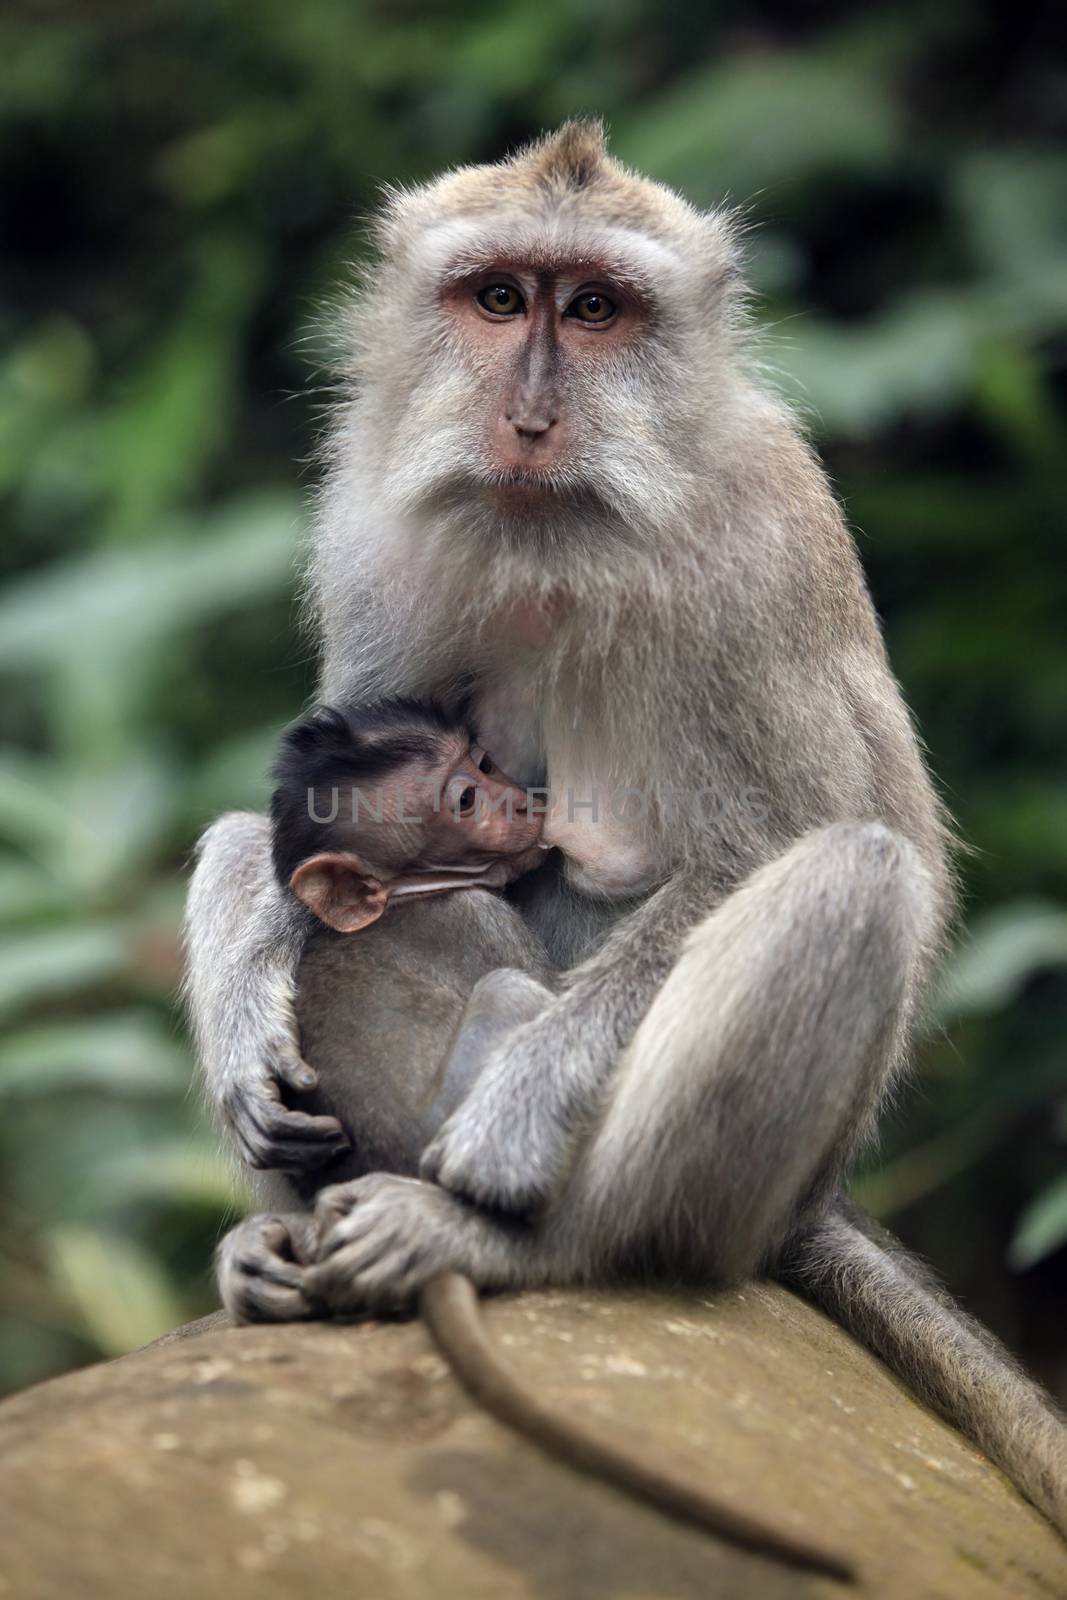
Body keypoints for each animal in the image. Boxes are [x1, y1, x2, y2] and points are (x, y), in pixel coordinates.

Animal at [223, 704, 851, 1587]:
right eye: (463, 798)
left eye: (484, 763)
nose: (525, 802)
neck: (408, 894)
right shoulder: (476, 918)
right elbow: (542, 991)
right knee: (510, 994)